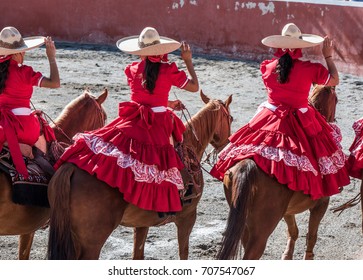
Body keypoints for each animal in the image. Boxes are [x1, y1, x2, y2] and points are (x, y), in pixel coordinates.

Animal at [47, 91, 233, 260]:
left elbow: (138, 254)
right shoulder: (187, 218)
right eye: (231, 118)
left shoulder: (142, 223)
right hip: (92, 243)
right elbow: (183, 254)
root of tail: (70, 168)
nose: (227, 142)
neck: (189, 147)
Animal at [216, 86, 338, 260]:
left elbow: (293, 231)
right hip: (261, 230)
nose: (333, 120)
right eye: (336, 100)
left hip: (244, 224)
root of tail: (248, 164)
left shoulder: (287, 210)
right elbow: (311, 236)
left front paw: (287, 255)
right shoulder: (321, 204)